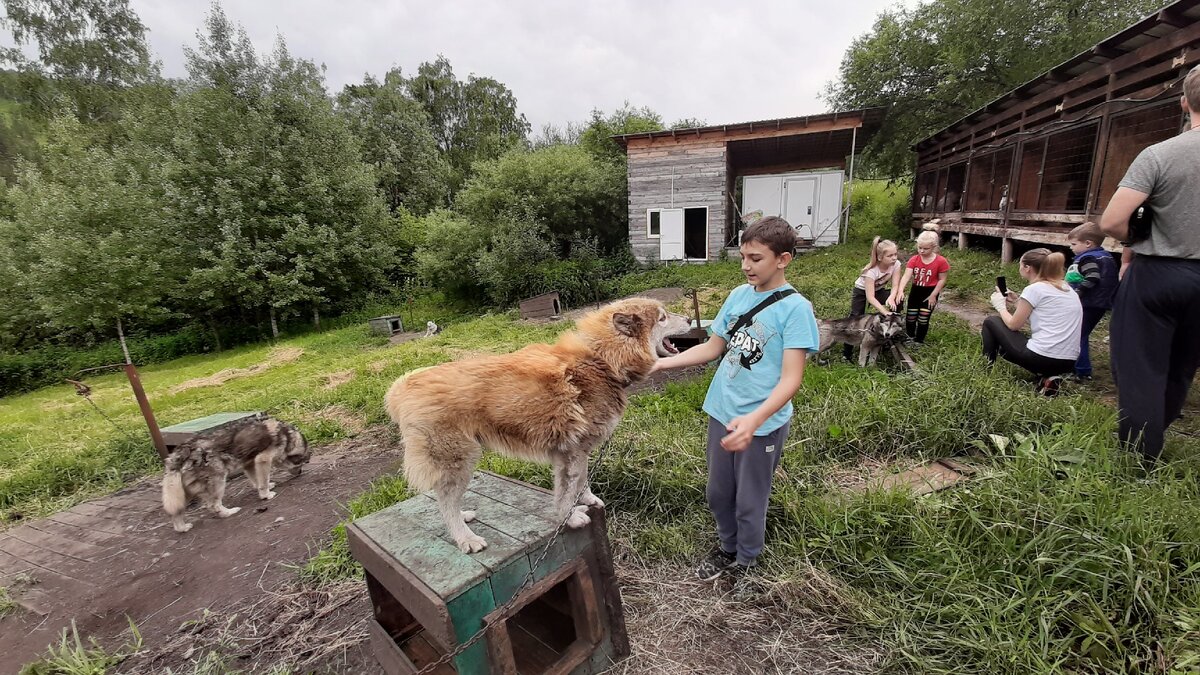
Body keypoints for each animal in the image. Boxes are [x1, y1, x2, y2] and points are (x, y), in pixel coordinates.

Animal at [159, 410, 309, 530]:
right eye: (302, 463)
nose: (300, 473)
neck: (286, 435)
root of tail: (182, 451)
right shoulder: (263, 460)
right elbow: (263, 483)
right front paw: (266, 495)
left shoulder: (249, 464)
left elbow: (257, 481)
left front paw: (266, 487)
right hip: (219, 482)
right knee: (213, 506)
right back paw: (230, 512)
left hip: (183, 494)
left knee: (175, 513)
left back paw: (182, 528)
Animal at [388, 296, 691, 550]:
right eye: (662, 318)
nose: (689, 318)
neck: (602, 360)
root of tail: (401, 387)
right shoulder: (570, 453)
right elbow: (565, 494)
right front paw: (570, 518)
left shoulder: (578, 452)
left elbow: (582, 481)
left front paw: (587, 500)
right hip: (459, 462)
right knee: (445, 502)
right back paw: (466, 538)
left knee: (446, 499)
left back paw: (464, 517)